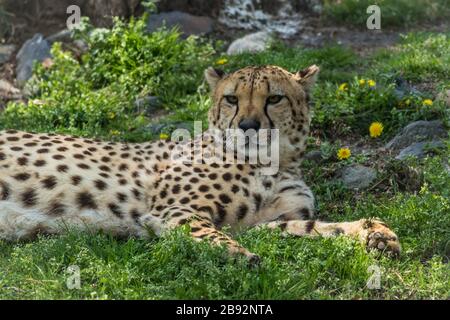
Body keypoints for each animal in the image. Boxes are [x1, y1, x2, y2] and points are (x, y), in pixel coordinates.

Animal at [0, 65, 400, 262]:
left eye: (274, 98)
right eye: (231, 99)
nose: (248, 126)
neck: (273, 162)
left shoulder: (259, 224)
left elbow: (311, 227)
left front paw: (375, 233)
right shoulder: (175, 211)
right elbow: (209, 233)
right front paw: (239, 256)